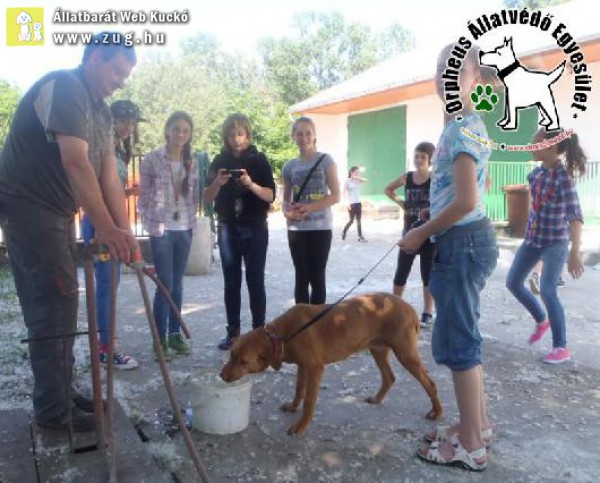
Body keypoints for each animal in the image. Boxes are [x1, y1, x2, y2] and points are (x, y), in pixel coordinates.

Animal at [219, 294, 440, 436]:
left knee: (430, 383)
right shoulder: (303, 366)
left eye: (243, 361)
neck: (283, 334)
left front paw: (301, 426)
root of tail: (408, 307)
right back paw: (377, 399)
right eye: (231, 354)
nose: (221, 376)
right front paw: (293, 406)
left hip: (406, 354)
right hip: (377, 349)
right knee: (389, 377)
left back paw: (437, 412)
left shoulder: (315, 368)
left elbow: (309, 400)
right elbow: (298, 390)